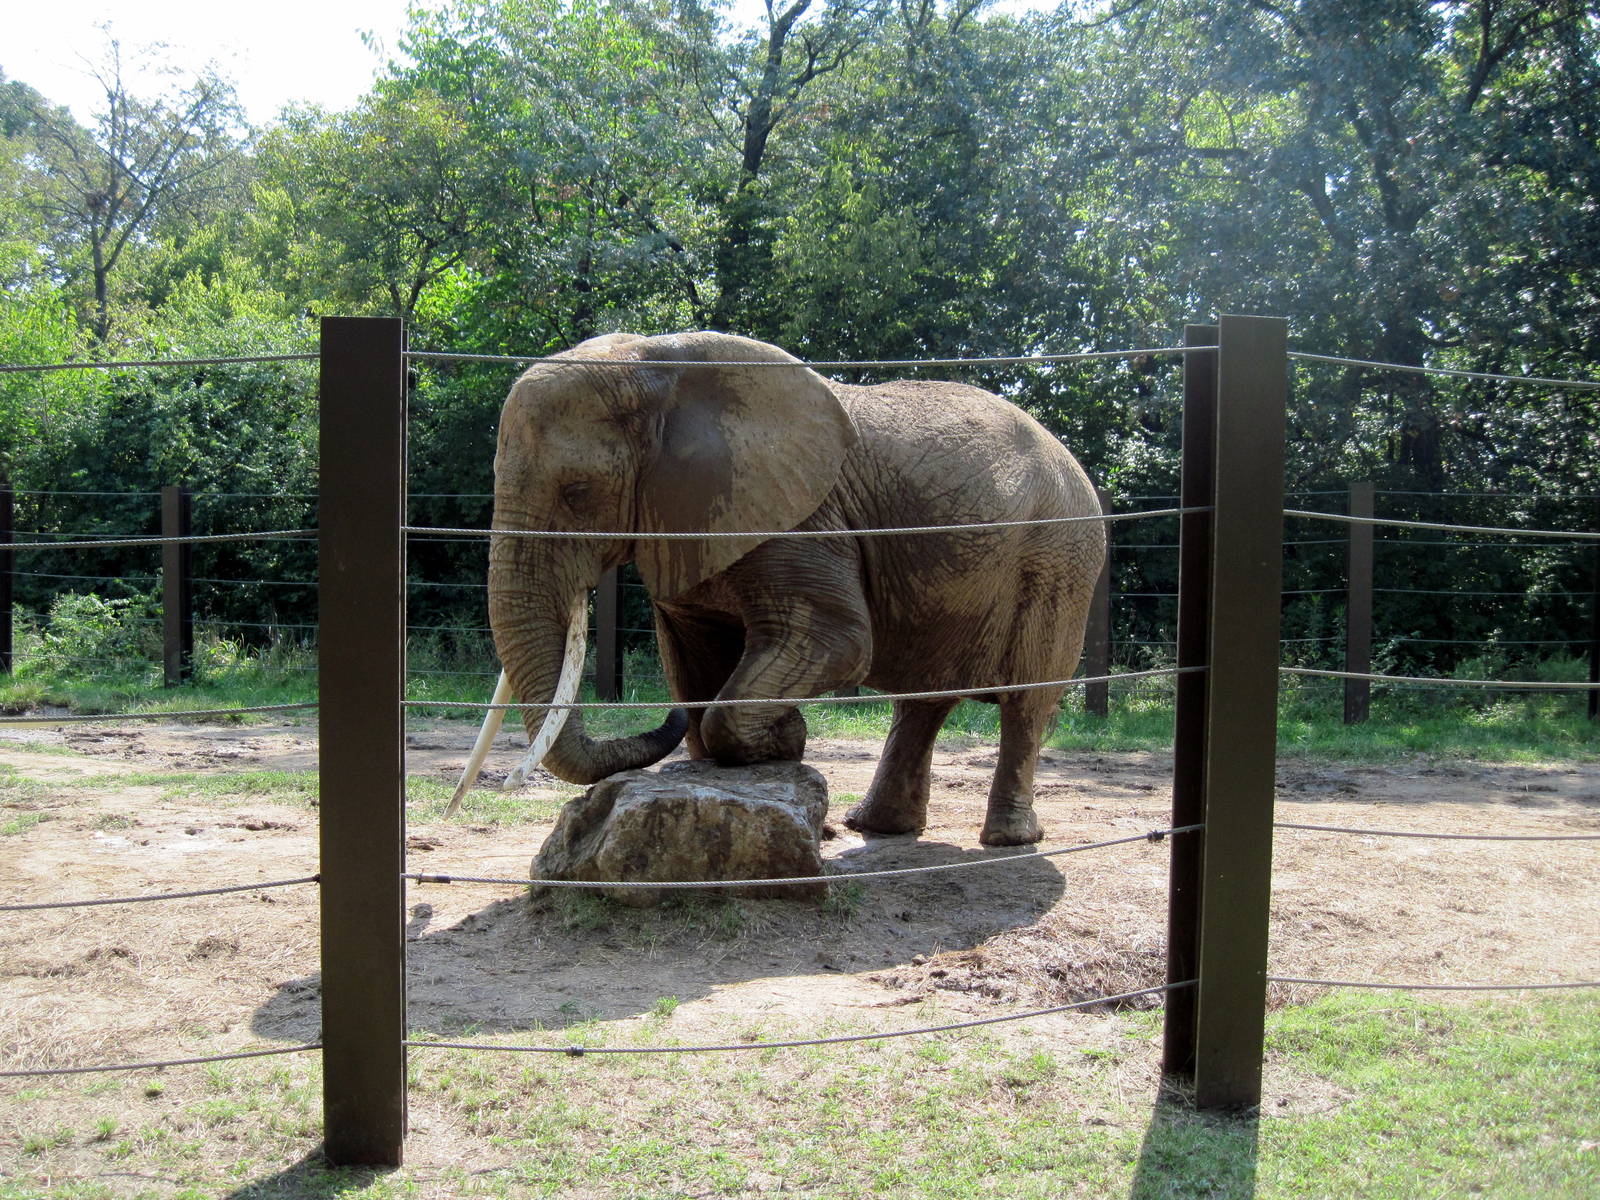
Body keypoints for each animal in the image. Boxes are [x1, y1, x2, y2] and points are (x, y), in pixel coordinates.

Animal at [449, 331, 1105, 847]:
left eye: (578, 492)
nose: (659, 718)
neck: (658, 365)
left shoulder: (802, 520)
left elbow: (836, 642)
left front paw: (784, 738)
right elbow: (693, 658)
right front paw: (772, 739)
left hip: (1060, 559)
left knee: (1027, 699)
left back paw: (1010, 838)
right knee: (923, 699)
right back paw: (875, 827)